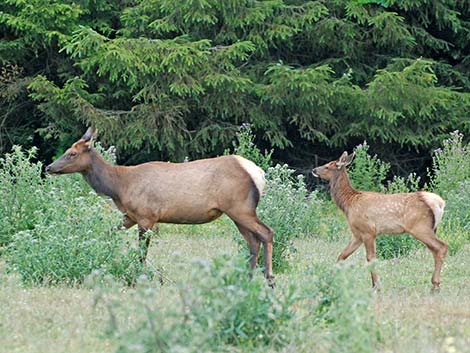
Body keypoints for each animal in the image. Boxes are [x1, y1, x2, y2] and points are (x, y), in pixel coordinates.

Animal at [46, 128, 274, 280]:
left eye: (72, 153)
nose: (49, 167)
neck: (119, 187)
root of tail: (259, 173)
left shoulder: (147, 216)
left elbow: (141, 252)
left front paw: (139, 275)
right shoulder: (130, 216)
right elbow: (107, 232)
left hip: (240, 208)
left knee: (266, 232)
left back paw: (268, 277)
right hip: (236, 213)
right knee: (253, 241)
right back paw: (247, 277)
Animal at [312, 150, 448, 290]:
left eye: (328, 166)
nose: (314, 170)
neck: (349, 204)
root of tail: (440, 203)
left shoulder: (368, 231)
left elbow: (370, 258)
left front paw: (376, 285)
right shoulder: (357, 234)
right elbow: (342, 255)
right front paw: (330, 280)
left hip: (420, 227)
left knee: (442, 247)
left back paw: (435, 284)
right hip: (431, 228)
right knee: (435, 250)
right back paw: (435, 284)